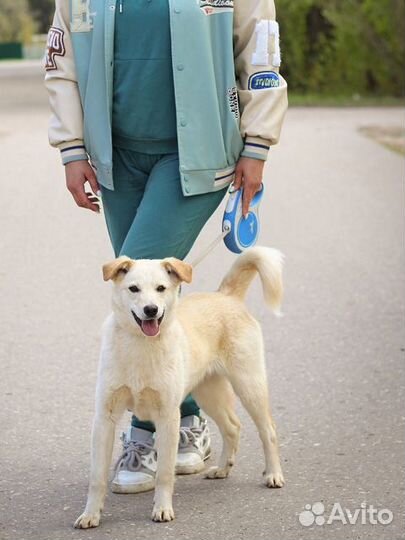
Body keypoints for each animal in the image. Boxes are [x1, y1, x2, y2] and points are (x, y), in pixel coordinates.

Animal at [75, 246, 284, 528]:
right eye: (133, 289)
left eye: (161, 288)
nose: (151, 310)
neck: (141, 345)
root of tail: (226, 295)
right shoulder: (104, 419)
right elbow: (96, 478)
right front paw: (91, 514)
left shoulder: (168, 418)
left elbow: (165, 474)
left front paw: (162, 508)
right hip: (209, 394)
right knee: (233, 427)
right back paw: (222, 468)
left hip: (249, 385)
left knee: (268, 431)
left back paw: (273, 474)